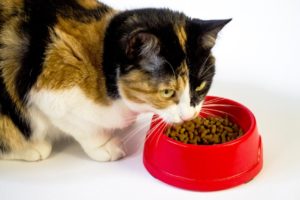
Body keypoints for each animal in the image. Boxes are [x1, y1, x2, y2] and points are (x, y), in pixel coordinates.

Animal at [0, 0, 230, 162]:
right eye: (167, 92)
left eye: (200, 85)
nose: (189, 116)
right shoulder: (51, 93)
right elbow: (84, 127)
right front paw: (105, 145)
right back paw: (32, 148)